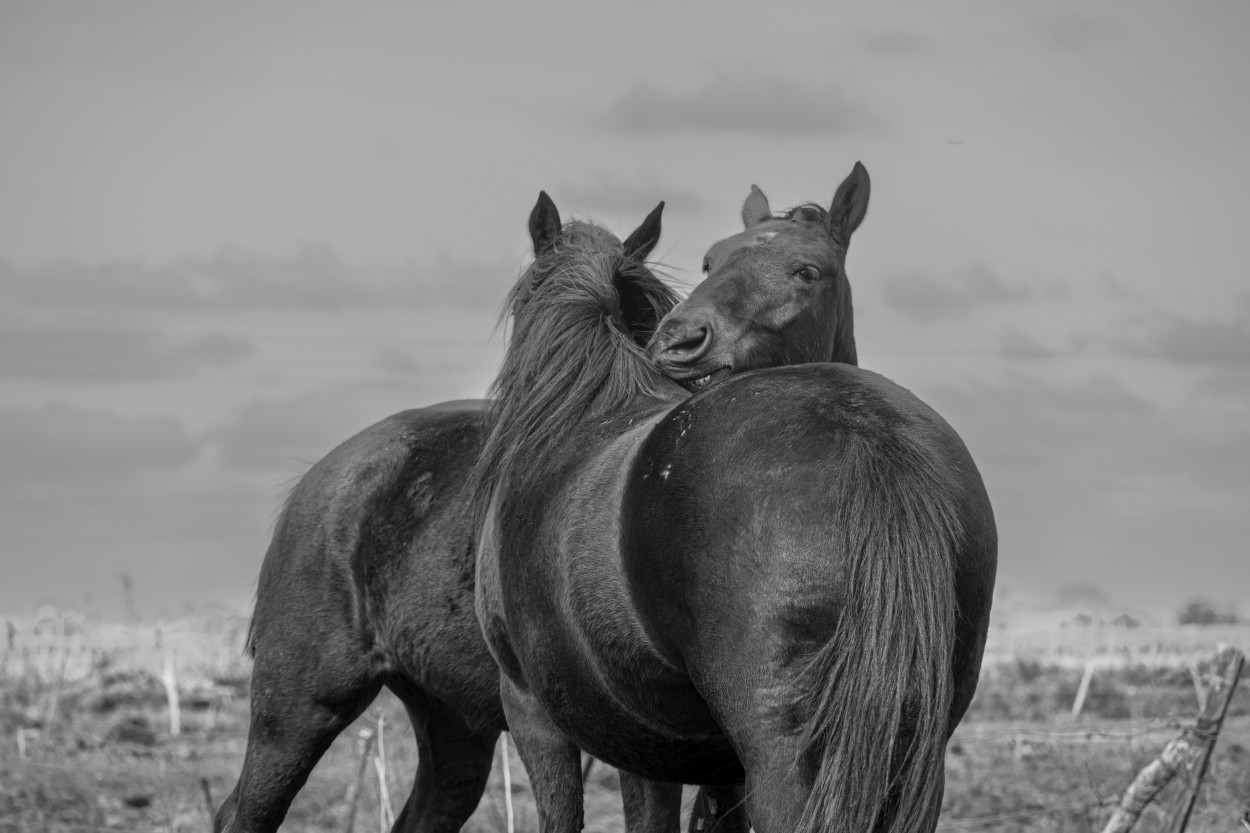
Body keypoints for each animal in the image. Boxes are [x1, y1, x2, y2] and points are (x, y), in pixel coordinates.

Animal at [475, 165, 995, 825]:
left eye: (807, 271)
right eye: (709, 260)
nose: (679, 340)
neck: (583, 404)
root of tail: (868, 435)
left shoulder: (543, 715)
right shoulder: (698, 761)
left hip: (782, 761)